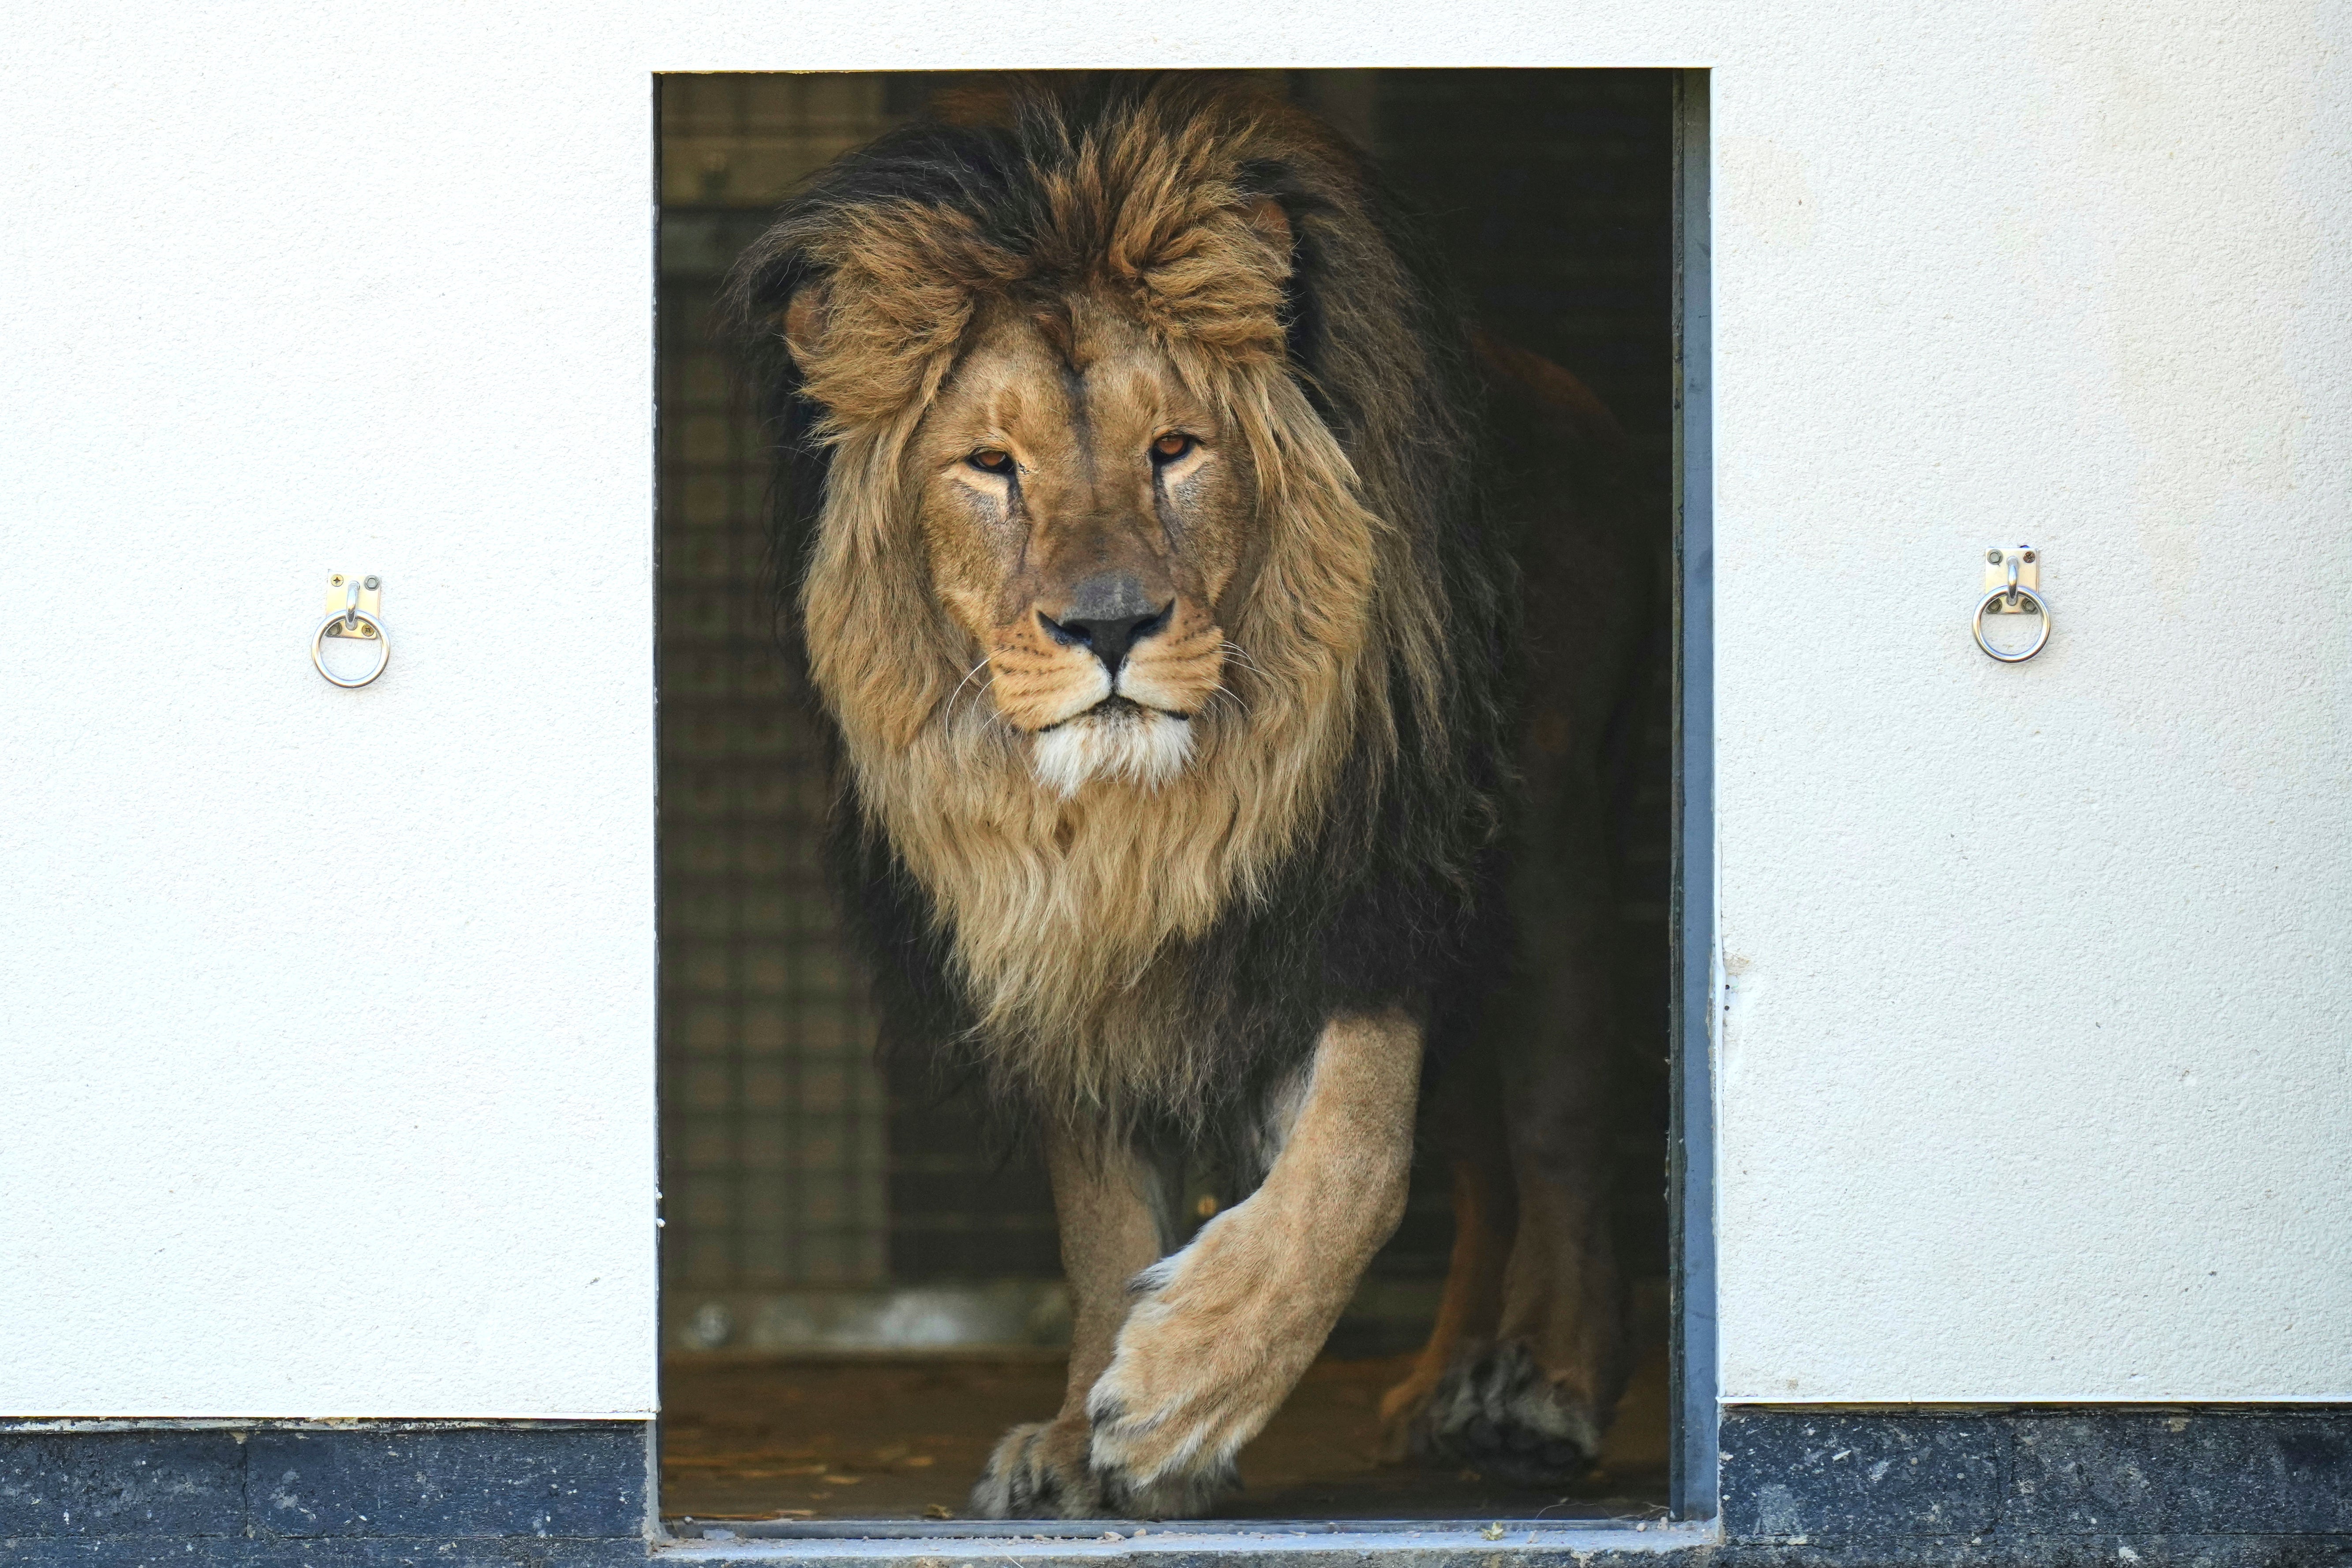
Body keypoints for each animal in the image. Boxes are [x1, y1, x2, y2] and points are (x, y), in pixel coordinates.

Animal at [724, 74, 1656, 1519]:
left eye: (1173, 449)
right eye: (989, 464)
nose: (1108, 624)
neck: (1137, 822)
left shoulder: (1374, 874)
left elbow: (1351, 1161)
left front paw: (1186, 1388)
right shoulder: (1052, 942)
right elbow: (1100, 1215)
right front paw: (1076, 1434)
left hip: (1549, 841)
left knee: (1560, 1126)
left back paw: (1547, 1385)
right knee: (1486, 1167)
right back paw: (1447, 1383)